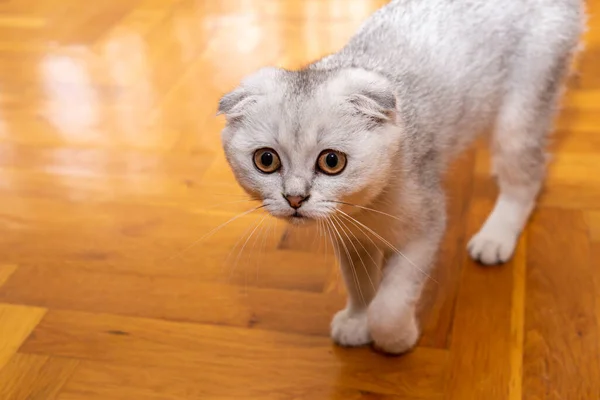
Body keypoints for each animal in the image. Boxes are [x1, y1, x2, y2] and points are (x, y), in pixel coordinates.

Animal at [217, 0, 584, 354]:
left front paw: (396, 340)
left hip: (518, 116)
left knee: (527, 177)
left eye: (332, 161)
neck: (367, 208)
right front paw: (357, 321)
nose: (295, 198)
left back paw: (496, 236)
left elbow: (389, 306)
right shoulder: (354, 241)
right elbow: (361, 286)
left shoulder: (424, 229)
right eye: (266, 160)